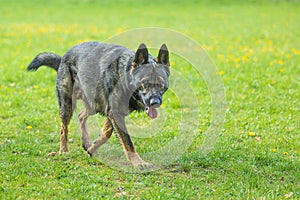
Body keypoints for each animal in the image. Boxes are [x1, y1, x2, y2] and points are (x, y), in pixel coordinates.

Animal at [27, 41, 170, 169]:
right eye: (144, 83)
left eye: (161, 84)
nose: (155, 102)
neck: (124, 73)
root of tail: (64, 57)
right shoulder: (114, 113)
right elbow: (127, 141)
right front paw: (139, 163)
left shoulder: (112, 112)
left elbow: (106, 133)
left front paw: (92, 148)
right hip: (67, 105)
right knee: (64, 128)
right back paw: (64, 151)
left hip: (94, 104)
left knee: (81, 116)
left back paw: (86, 142)